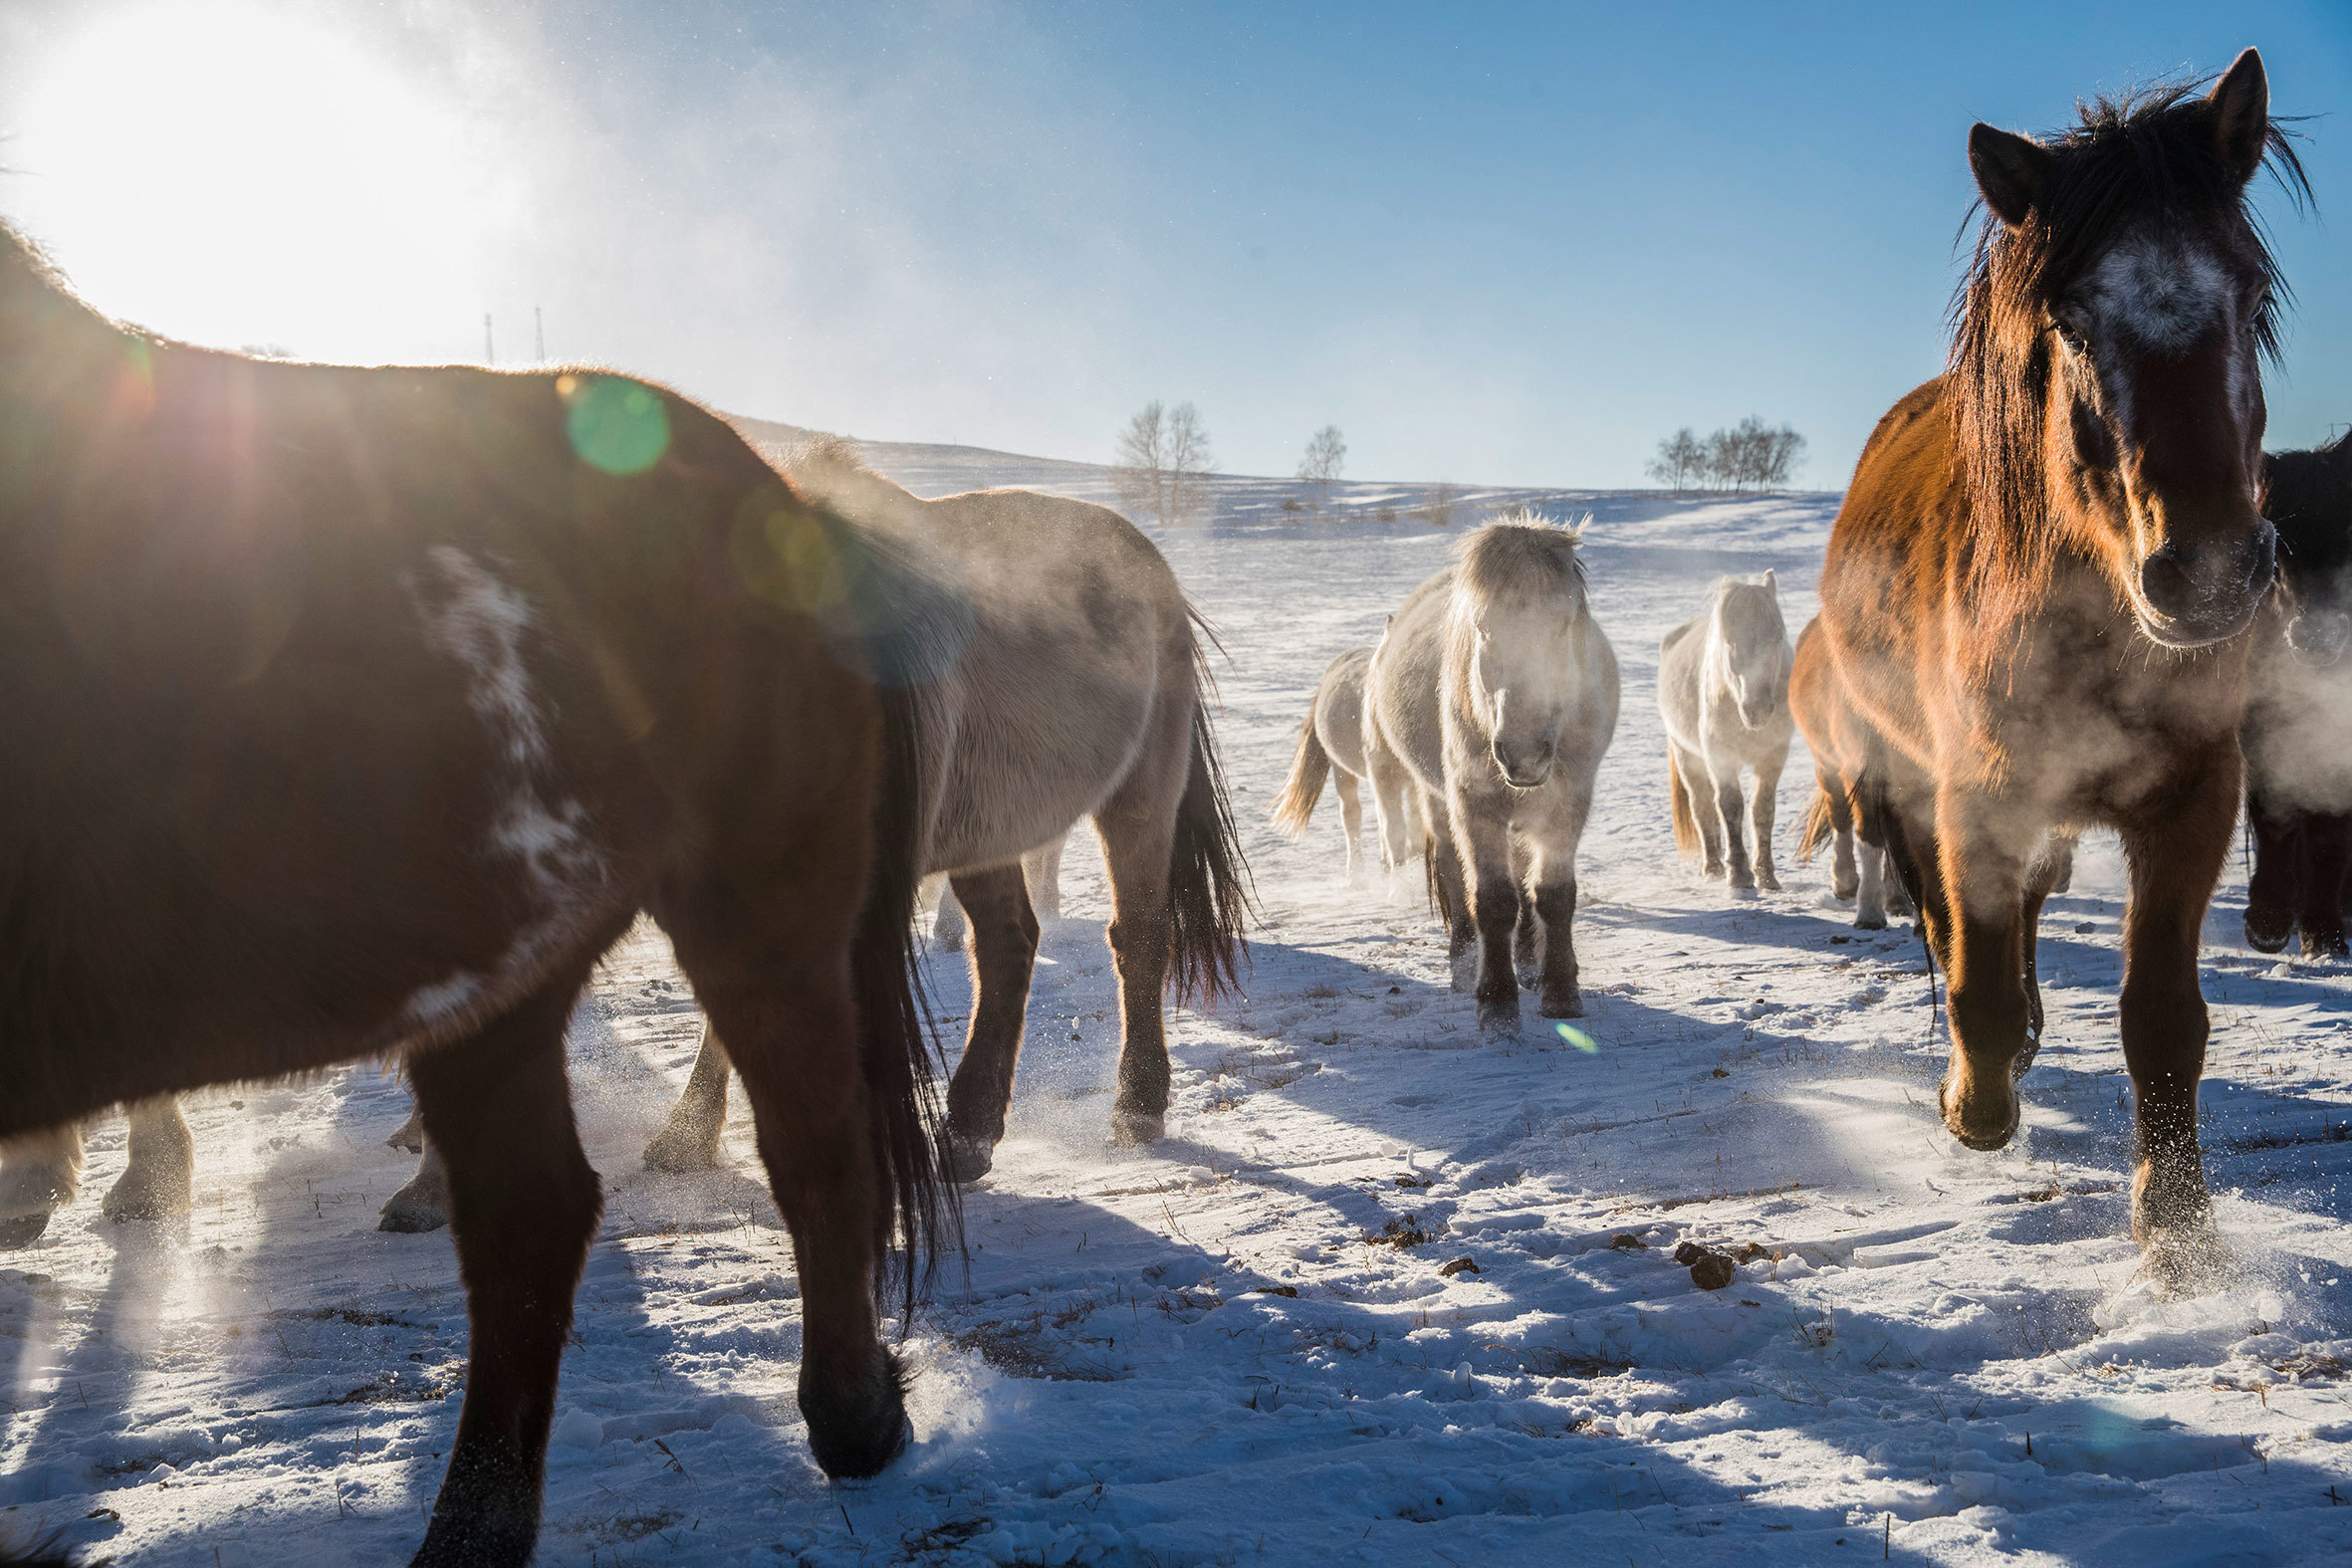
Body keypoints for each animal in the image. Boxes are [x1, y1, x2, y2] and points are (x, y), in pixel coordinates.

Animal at [0, 219, 951, 1564]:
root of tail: (789, 498)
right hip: (503, 975)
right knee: (532, 1220)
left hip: (760, 907)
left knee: (815, 1151)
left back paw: (857, 1423)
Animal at [635, 442, 1251, 1185]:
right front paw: (688, 1136)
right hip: (990, 823)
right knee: (1010, 943)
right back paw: (971, 1131)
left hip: (1140, 796)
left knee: (1140, 937)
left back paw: (1137, 1105)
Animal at [1364, 515, 1619, 1034]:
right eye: (1483, 628)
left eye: (1564, 625)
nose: (1523, 752)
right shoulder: (1475, 805)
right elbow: (1493, 899)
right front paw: (1497, 1005)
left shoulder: (1568, 804)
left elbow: (1553, 895)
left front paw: (1560, 992)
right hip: (1439, 799)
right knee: (1451, 869)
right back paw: (1465, 965)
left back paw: (1527, 962)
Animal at [1659, 573, 1793, 895]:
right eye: (1730, 642)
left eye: (1778, 638)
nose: (1756, 709)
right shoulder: (1720, 758)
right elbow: (1730, 807)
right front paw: (1740, 875)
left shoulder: (1773, 756)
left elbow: (1762, 811)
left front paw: (1766, 876)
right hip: (1687, 756)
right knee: (1702, 807)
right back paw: (1713, 868)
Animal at [1815, 51, 2303, 1283]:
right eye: (2070, 323)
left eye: (2250, 300)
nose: (2209, 572)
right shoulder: (1974, 797)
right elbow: (1973, 973)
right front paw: (1973, 1105)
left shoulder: (2191, 798)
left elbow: (2162, 1019)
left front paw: (2177, 1236)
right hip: (1908, 778)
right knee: (1950, 921)